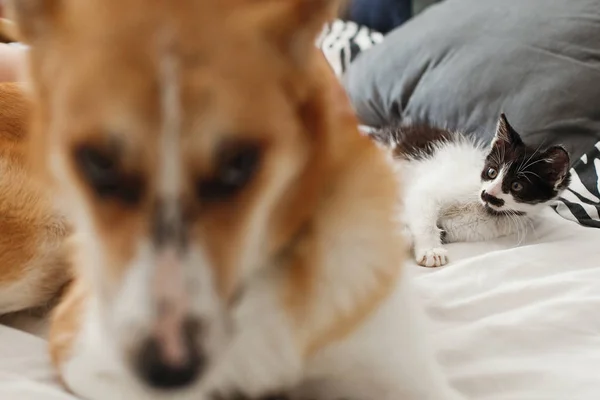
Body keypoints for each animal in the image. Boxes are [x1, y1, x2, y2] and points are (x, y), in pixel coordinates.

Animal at [370, 114, 572, 268]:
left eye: (517, 186)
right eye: (491, 172)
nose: (487, 194)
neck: (483, 207)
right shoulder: (428, 190)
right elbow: (424, 215)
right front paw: (431, 251)